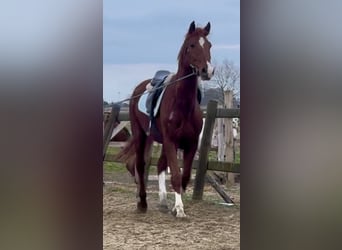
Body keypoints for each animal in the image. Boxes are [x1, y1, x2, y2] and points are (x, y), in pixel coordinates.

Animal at [117, 21, 214, 217]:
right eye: (192, 45)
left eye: (209, 45)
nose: (207, 70)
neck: (182, 104)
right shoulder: (171, 141)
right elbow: (175, 174)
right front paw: (180, 209)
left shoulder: (190, 143)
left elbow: (184, 176)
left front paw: (176, 205)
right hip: (141, 135)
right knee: (139, 165)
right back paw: (142, 202)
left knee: (160, 164)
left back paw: (162, 201)